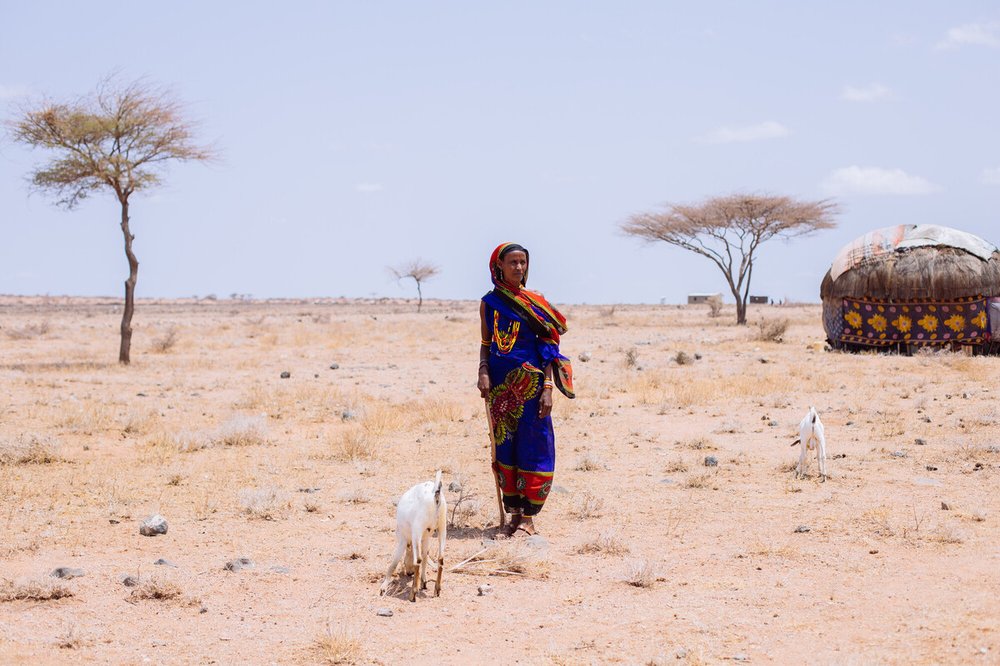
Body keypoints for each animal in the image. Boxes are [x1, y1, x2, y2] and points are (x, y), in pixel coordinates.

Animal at [380, 471, 447, 602]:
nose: (409, 573)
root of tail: (435, 492)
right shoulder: (426, 537)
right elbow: (426, 556)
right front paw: (424, 581)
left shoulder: (402, 539)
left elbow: (393, 563)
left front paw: (383, 588)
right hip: (442, 527)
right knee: (440, 559)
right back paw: (437, 589)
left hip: (417, 530)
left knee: (418, 560)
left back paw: (412, 594)